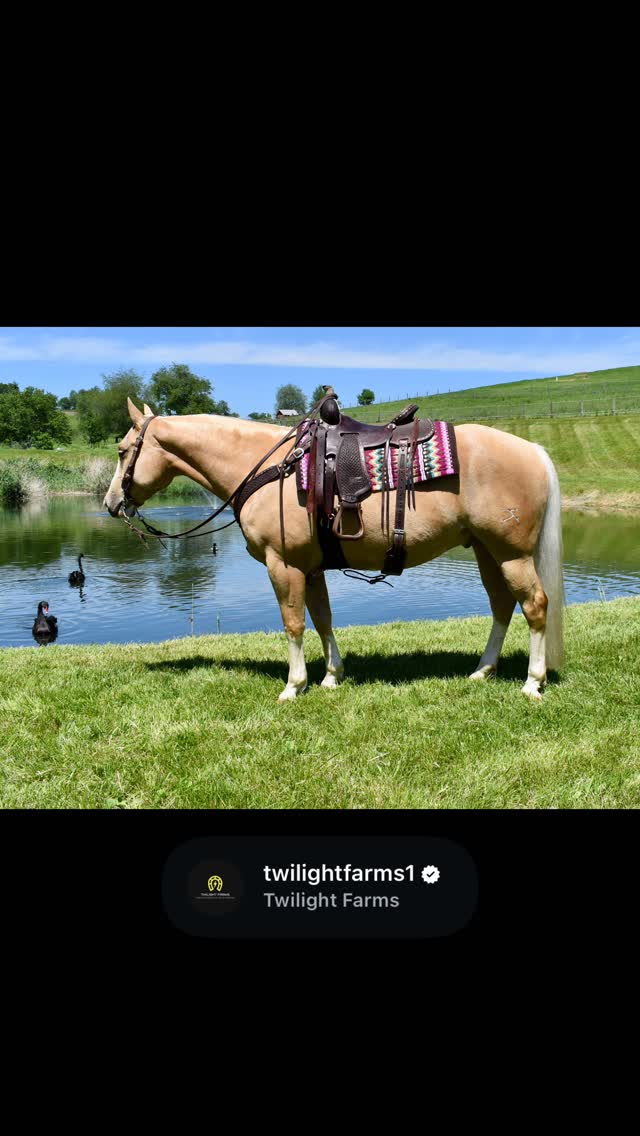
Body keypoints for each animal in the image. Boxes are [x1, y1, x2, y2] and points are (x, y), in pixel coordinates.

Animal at [104, 398, 564, 703]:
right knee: (503, 606)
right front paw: (330, 676)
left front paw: (293, 686)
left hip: (511, 554)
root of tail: (533, 450)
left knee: (535, 606)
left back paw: (532, 681)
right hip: (488, 551)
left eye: (124, 451)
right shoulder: (310, 568)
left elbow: (293, 624)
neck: (271, 469)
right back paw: (483, 670)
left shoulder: (283, 565)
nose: (110, 504)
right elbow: (322, 618)